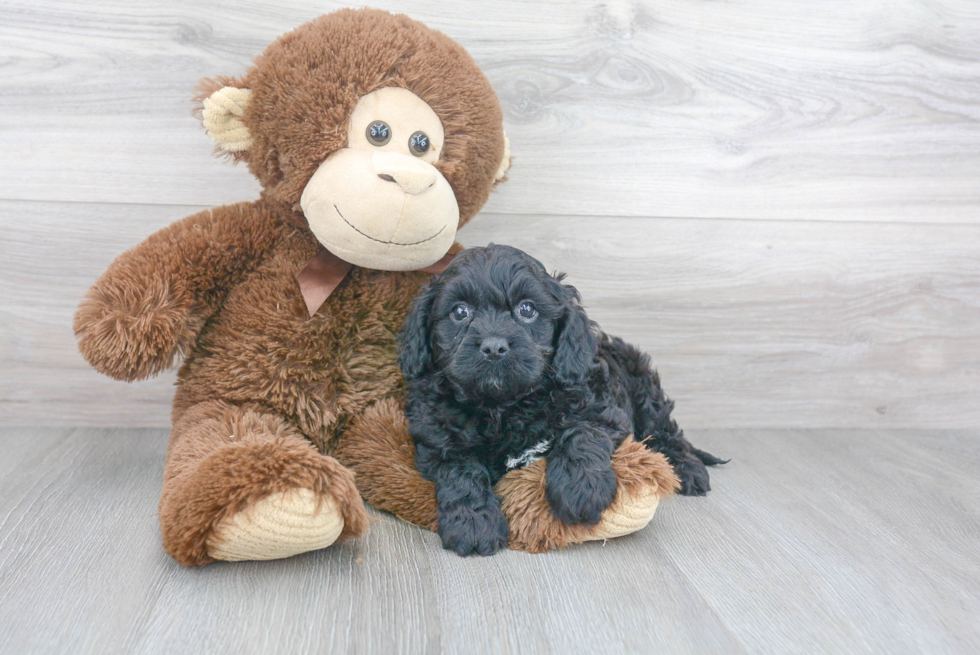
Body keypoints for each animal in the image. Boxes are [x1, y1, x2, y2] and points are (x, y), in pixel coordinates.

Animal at [400, 243, 728, 556]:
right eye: (459, 312)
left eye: (527, 309)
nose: (494, 347)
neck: (504, 406)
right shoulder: (435, 435)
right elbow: (460, 469)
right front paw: (473, 523)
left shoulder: (601, 406)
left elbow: (583, 433)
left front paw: (581, 488)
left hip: (644, 388)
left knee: (665, 430)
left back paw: (688, 469)